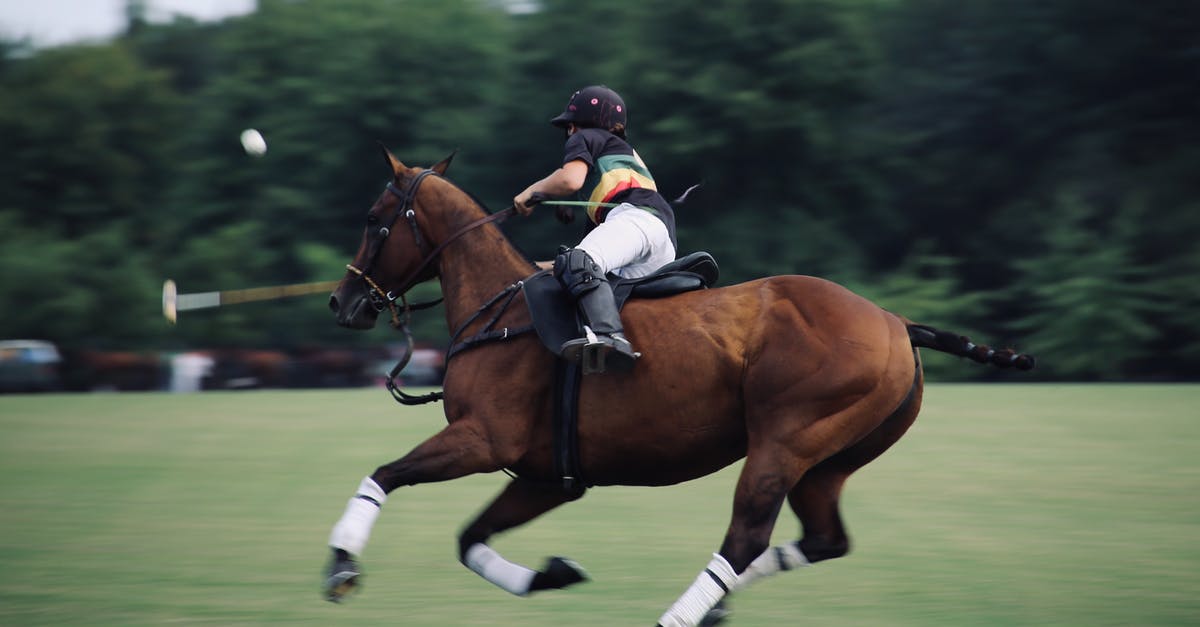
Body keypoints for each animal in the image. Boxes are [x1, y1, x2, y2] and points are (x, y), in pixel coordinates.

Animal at [324, 147, 1036, 624]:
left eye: (374, 217)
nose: (343, 302)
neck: (498, 311)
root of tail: (896, 322)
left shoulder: (483, 440)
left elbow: (384, 474)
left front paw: (340, 565)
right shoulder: (545, 474)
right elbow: (470, 538)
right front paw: (554, 574)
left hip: (785, 440)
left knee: (745, 538)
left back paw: (679, 616)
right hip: (830, 459)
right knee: (823, 540)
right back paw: (716, 608)